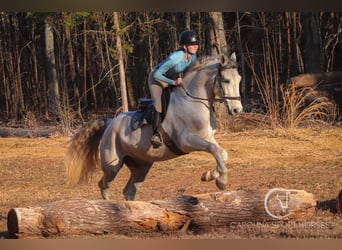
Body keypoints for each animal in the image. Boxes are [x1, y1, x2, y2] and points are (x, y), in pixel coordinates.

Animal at [65, 52, 243, 201]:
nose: (237, 110)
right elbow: (214, 150)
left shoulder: (208, 137)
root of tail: (110, 122)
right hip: (112, 165)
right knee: (104, 185)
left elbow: (221, 153)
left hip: (141, 166)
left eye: (239, 79)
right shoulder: (186, 141)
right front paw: (221, 181)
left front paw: (209, 175)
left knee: (129, 190)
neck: (193, 101)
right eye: (226, 80)